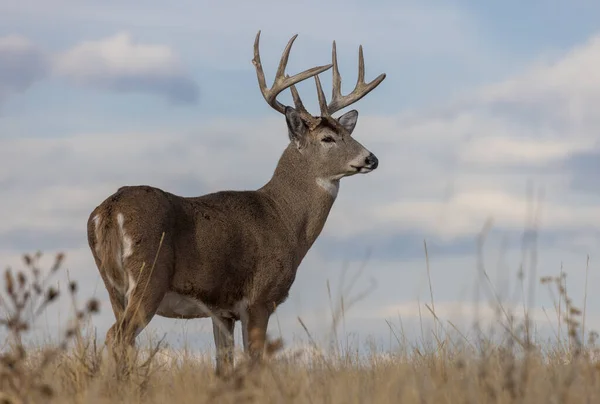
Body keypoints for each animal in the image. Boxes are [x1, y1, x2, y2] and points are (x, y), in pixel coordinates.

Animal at [86, 30, 386, 376]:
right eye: (328, 138)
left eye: (346, 131)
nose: (371, 158)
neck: (282, 218)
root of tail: (109, 211)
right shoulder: (259, 298)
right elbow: (254, 362)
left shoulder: (222, 312)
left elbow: (223, 366)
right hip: (149, 277)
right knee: (117, 335)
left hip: (113, 287)